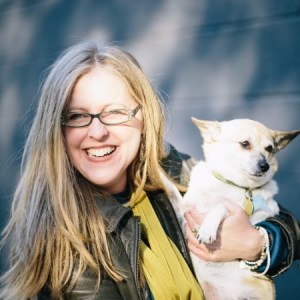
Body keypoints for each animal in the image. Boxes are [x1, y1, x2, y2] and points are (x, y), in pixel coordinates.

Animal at [163, 118, 298, 300]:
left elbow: (221, 205)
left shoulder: (254, 216)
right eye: (245, 144)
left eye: (269, 149)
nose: (265, 165)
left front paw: (207, 228)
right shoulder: (182, 210)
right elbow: (170, 188)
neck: (233, 184)